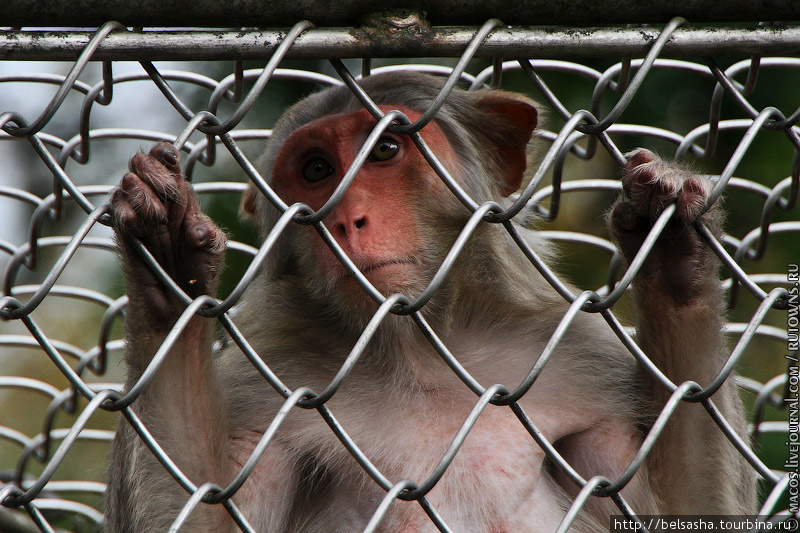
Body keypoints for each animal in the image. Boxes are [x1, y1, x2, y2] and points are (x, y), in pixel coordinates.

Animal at [106, 71, 756, 532]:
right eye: (316, 170)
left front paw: (674, 251)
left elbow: (679, 511)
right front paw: (168, 265)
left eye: (386, 150)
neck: (415, 342)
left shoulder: (585, 360)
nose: (345, 220)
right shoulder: (258, 389)